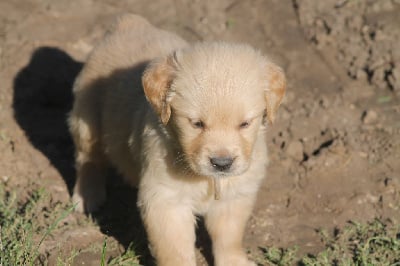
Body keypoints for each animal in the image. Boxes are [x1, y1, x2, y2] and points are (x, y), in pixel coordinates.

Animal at [68, 14, 284, 266]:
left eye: (245, 124)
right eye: (197, 123)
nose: (222, 163)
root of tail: (129, 22)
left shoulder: (235, 195)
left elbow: (229, 237)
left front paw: (234, 261)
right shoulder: (166, 201)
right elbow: (175, 249)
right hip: (87, 118)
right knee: (88, 160)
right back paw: (88, 196)